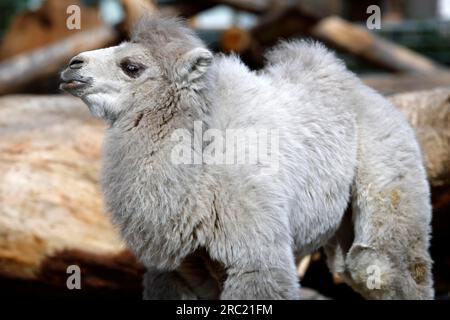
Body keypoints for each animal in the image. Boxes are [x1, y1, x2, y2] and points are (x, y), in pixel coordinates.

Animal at [61, 15, 434, 300]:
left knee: (383, 264)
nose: (72, 67)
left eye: (132, 66)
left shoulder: (255, 257)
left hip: (387, 169)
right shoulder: (178, 269)